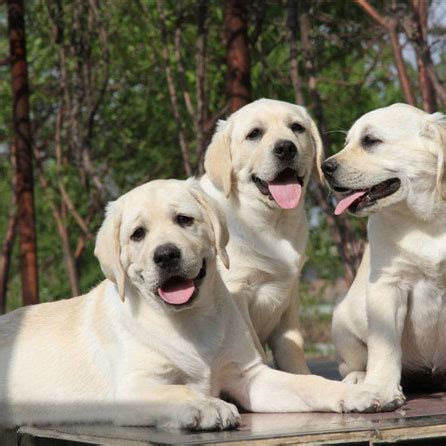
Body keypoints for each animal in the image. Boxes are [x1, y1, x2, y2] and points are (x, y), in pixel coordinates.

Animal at [0, 179, 378, 430]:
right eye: (138, 234)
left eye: (184, 219)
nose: (166, 255)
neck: (191, 321)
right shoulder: (133, 386)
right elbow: (176, 391)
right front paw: (207, 406)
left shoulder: (248, 376)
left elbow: (306, 383)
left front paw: (353, 393)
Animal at [200, 97, 322, 372]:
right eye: (254, 134)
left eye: (297, 127)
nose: (286, 148)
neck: (271, 223)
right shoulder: (237, 293)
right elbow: (254, 349)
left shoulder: (289, 296)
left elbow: (292, 347)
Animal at [322, 103, 446, 412]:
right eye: (347, 142)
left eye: (370, 141)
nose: (325, 167)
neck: (426, 221)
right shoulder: (388, 286)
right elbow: (385, 345)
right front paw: (381, 391)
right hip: (342, 324)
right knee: (351, 365)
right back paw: (359, 380)